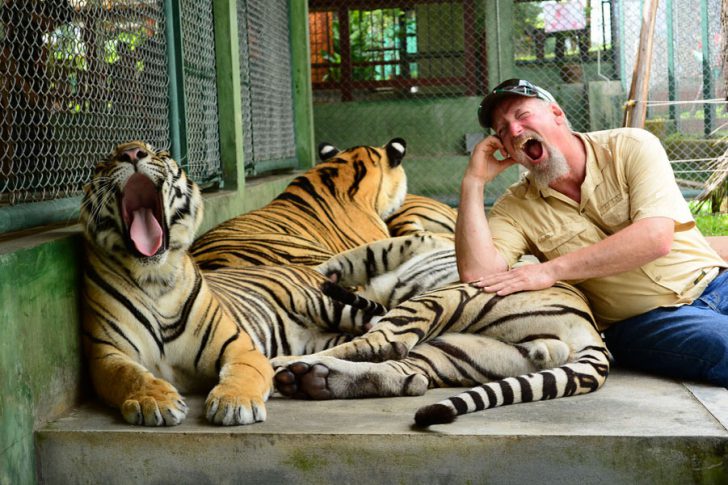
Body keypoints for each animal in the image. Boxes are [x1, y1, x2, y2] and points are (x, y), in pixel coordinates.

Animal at [81, 141, 389, 427]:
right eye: (105, 162)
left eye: (159, 152)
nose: (132, 153)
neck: (156, 278)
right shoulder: (107, 353)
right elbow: (129, 375)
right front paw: (154, 401)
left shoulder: (239, 345)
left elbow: (243, 372)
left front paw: (235, 403)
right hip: (326, 335)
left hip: (328, 305)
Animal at [272, 234, 611, 426]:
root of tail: (591, 334)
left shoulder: (406, 243)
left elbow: (353, 258)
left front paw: (319, 274)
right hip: (461, 352)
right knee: (410, 375)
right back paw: (311, 380)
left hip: (450, 297)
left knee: (386, 343)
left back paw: (284, 365)